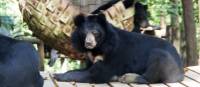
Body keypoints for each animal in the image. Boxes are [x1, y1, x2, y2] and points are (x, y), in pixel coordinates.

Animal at [53, 13, 184, 83]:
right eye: (84, 33)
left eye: (95, 33)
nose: (88, 43)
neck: (100, 46)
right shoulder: (90, 57)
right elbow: (83, 69)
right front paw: (60, 73)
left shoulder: (112, 54)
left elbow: (97, 73)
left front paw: (58, 76)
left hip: (165, 59)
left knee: (152, 73)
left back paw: (128, 77)